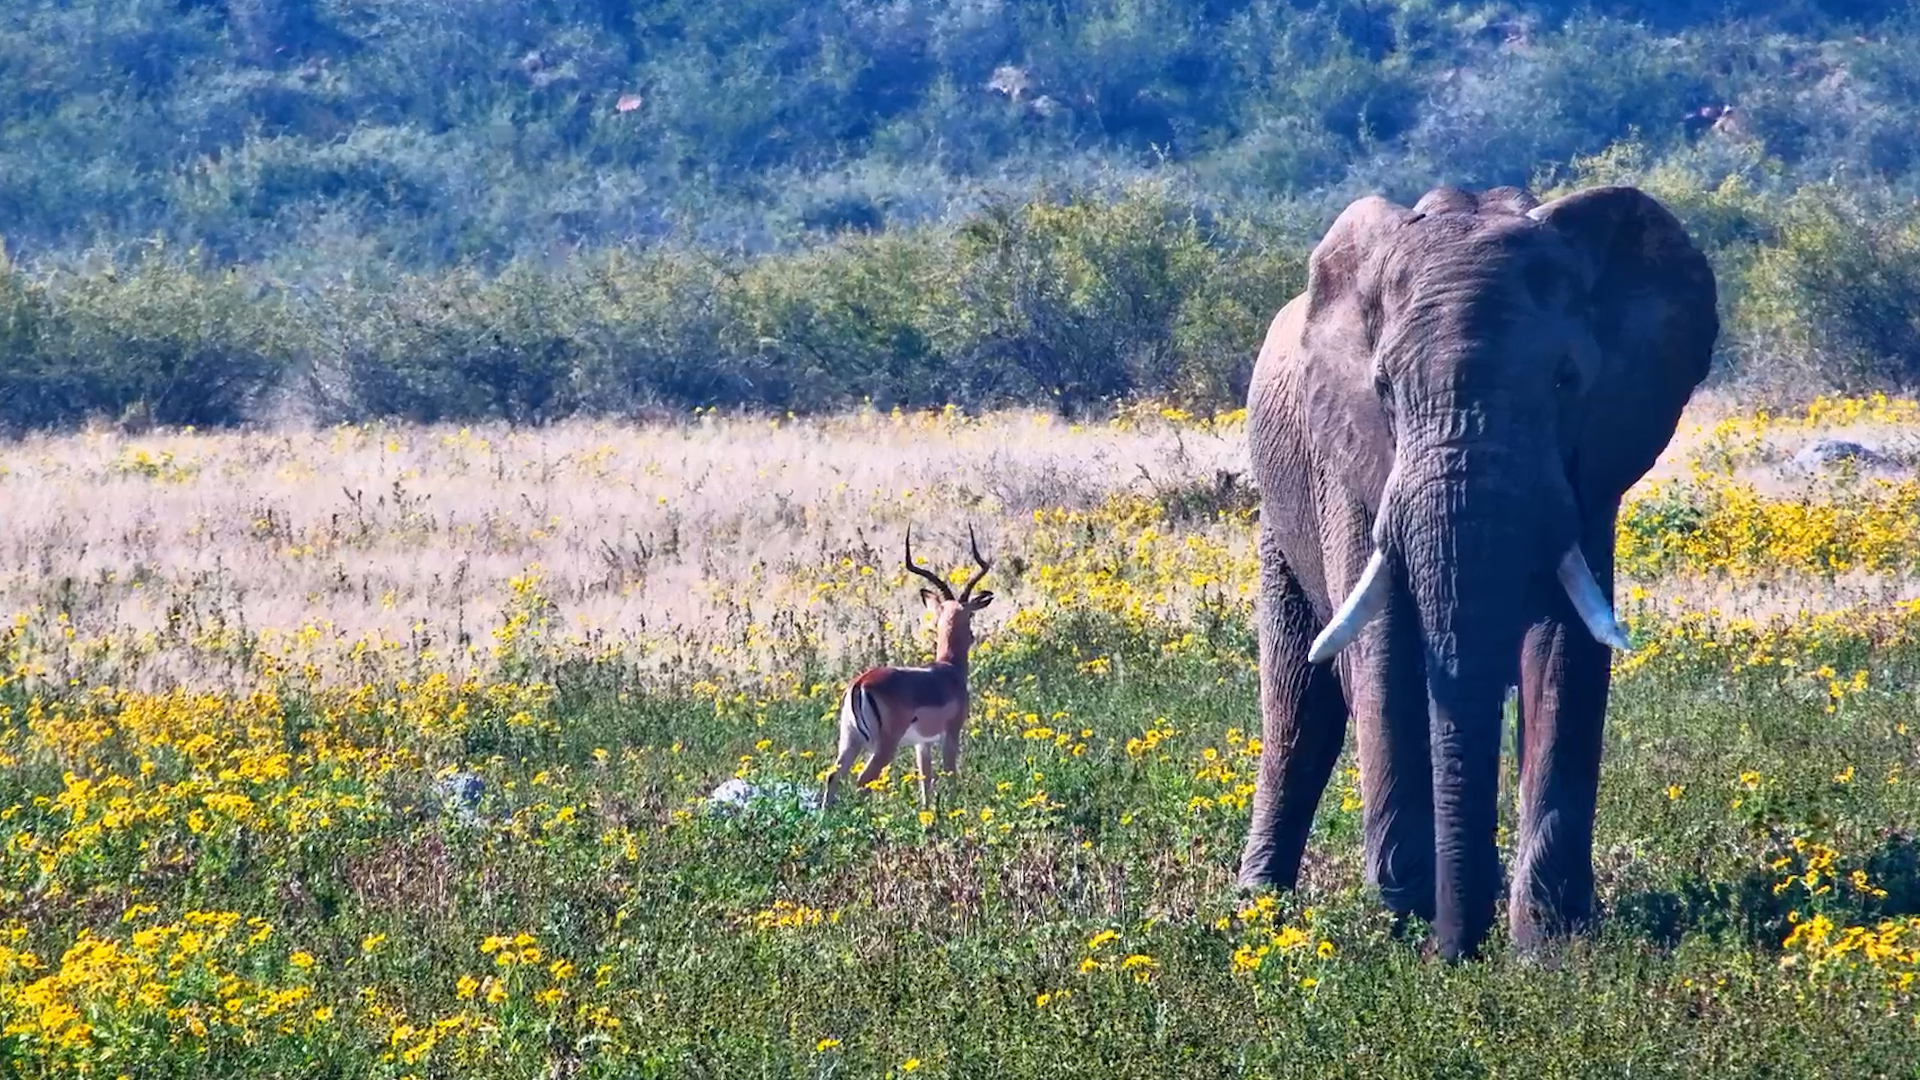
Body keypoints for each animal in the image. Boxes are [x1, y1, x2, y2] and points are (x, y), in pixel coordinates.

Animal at [1234, 184, 1718, 960]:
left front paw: (1548, 945)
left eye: (1565, 380)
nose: (1460, 950)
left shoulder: (1590, 472)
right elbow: (1383, 655)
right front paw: (1410, 923)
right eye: (1384, 389)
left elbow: (1566, 653)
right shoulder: (1350, 462)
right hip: (1279, 508)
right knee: (1297, 709)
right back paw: (1256, 911)